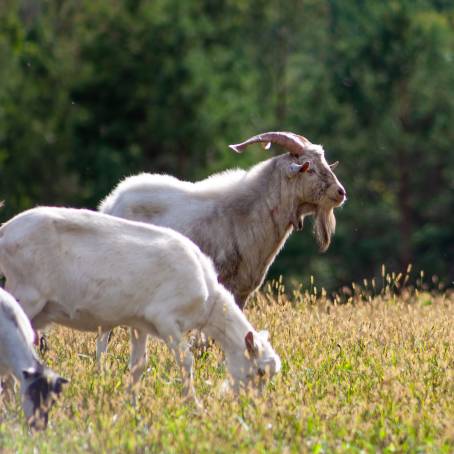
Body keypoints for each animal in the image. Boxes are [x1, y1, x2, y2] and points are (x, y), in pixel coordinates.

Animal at [0, 207, 282, 404]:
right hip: (27, 294)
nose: (253, 406)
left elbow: (138, 365)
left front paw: (131, 405)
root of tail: (5, 230)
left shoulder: (140, 324)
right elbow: (185, 360)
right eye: (259, 372)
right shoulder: (165, 318)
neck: (210, 303)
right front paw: (194, 405)